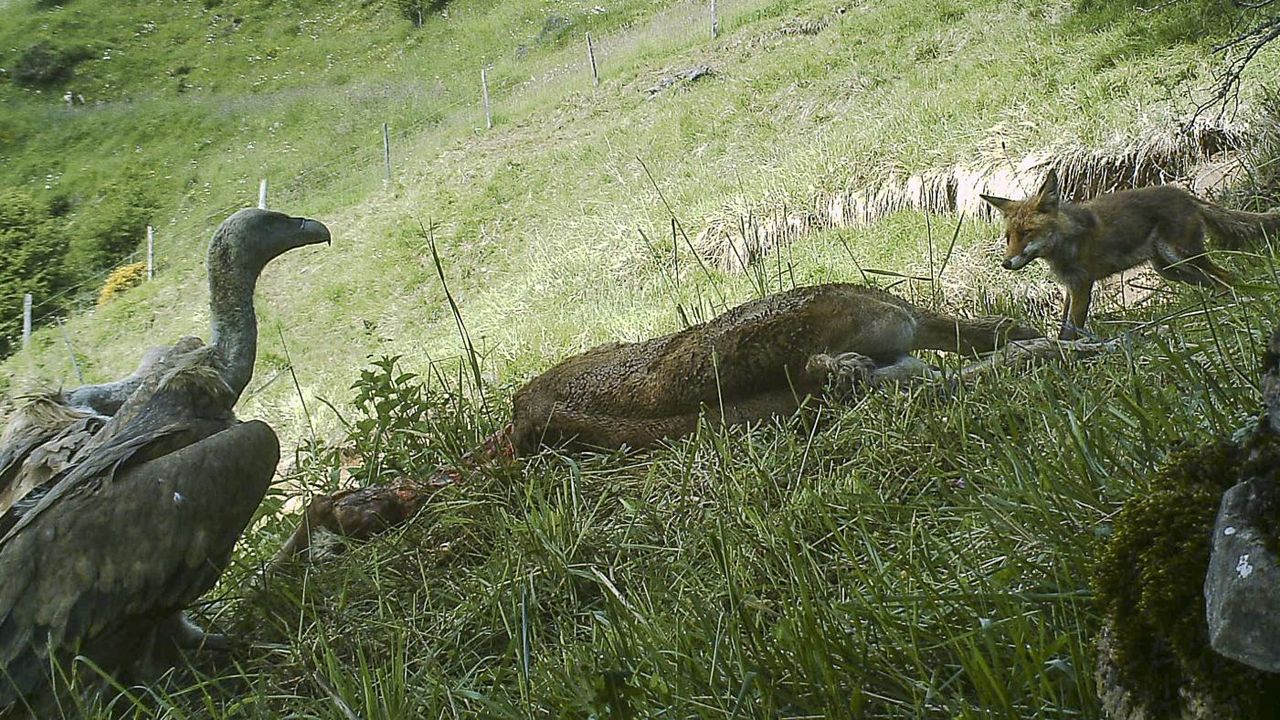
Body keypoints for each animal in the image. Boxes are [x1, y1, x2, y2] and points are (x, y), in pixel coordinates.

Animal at [983, 169, 1274, 338]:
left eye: (1027, 233)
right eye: (1009, 237)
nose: (1006, 263)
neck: (1066, 242)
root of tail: (1183, 194)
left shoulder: (1082, 285)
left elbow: (1070, 331)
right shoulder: (1069, 287)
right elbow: (1062, 327)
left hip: (1181, 257)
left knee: (1227, 276)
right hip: (1170, 269)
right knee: (1218, 281)